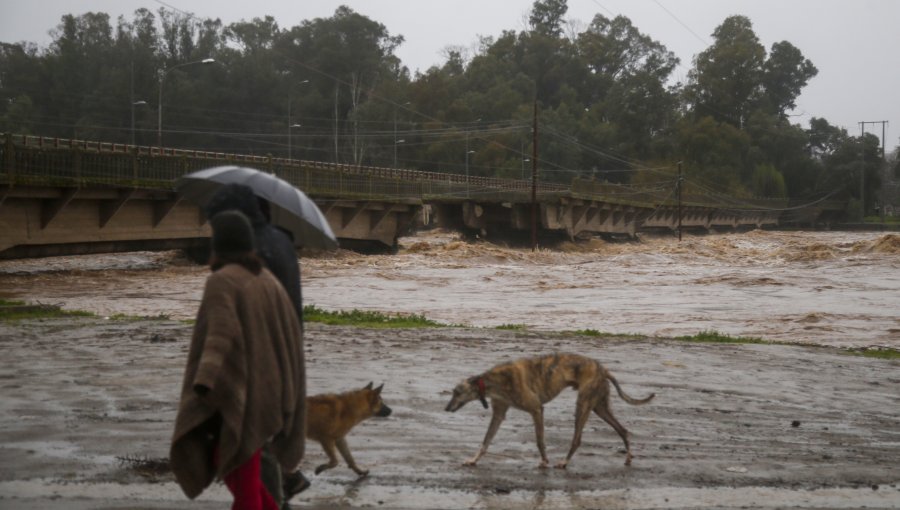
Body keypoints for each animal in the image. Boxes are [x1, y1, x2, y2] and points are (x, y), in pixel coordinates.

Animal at [444, 352, 652, 468]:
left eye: (456, 392)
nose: (446, 408)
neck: (491, 381)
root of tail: (603, 369)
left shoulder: (536, 409)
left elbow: (539, 440)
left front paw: (544, 461)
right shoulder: (499, 413)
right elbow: (485, 441)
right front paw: (473, 460)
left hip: (583, 405)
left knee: (577, 439)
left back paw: (564, 462)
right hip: (599, 407)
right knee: (623, 430)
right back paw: (628, 458)